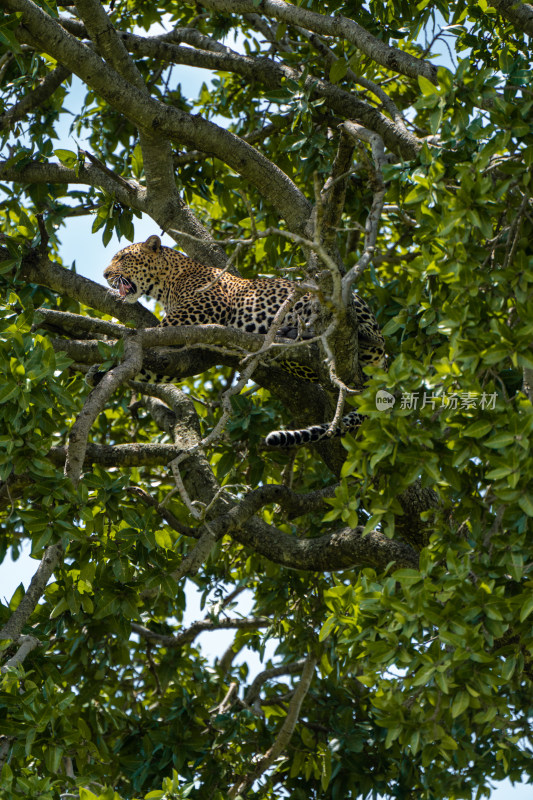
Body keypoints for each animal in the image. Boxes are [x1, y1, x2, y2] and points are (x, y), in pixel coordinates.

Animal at [104, 238, 384, 446]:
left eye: (123, 258)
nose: (105, 274)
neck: (167, 281)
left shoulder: (198, 312)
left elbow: (153, 329)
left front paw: (112, 338)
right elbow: (156, 367)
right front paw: (101, 372)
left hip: (336, 302)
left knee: (367, 335)